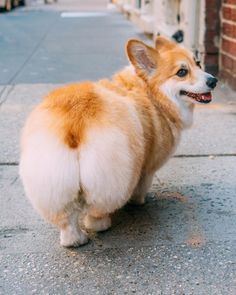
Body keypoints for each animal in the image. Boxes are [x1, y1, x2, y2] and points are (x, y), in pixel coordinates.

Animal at [19, 38, 218, 249]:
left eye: (198, 63)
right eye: (181, 72)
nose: (213, 81)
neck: (149, 91)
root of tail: (75, 120)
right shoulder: (147, 167)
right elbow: (143, 184)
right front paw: (138, 201)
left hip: (53, 180)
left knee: (67, 219)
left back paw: (74, 240)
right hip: (110, 174)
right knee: (96, 212)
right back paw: (103, 224)